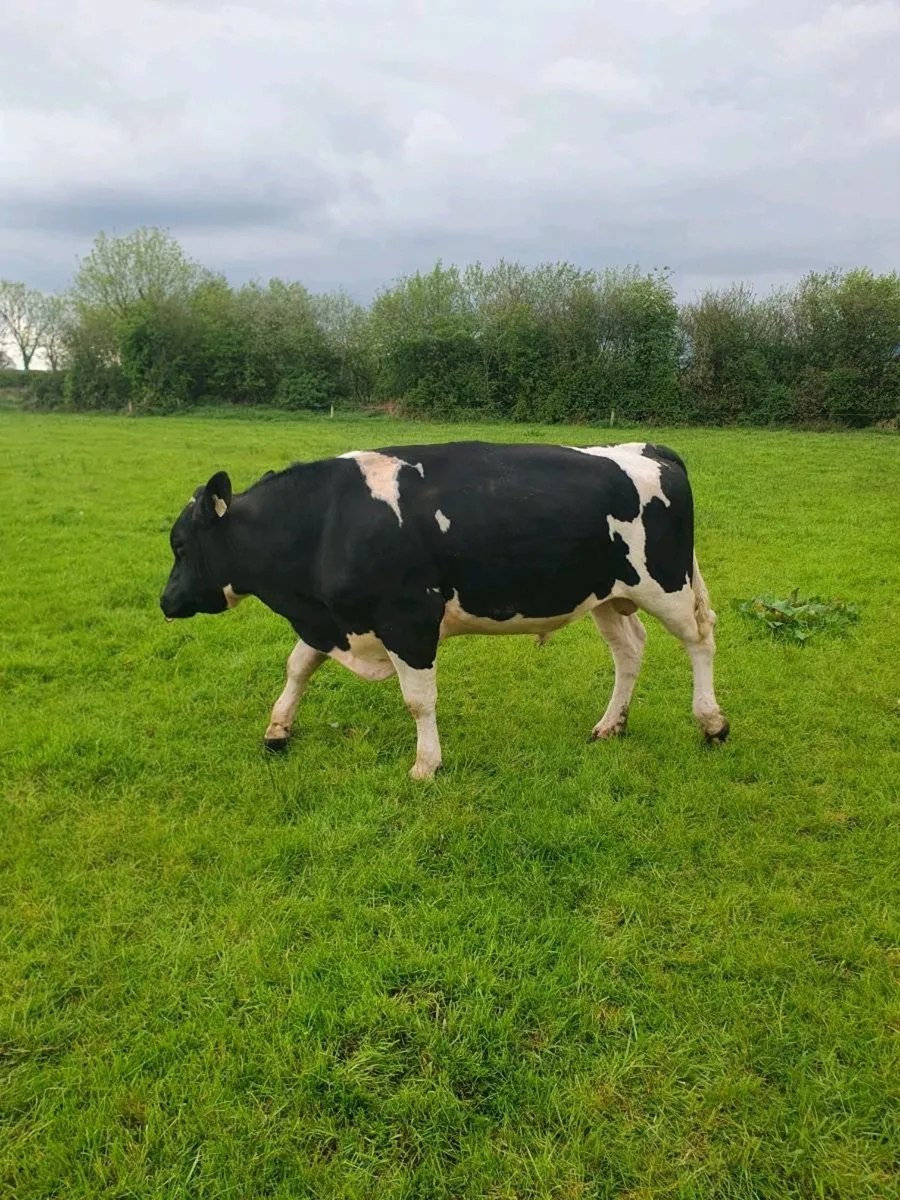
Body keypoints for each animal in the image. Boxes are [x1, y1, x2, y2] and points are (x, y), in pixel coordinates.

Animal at [160, 440, 729, 778]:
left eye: (181, 545)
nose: (166, 602)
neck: (328, 522)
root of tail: (645, 448)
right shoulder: (334, 620)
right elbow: (298, 666)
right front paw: (278, 730)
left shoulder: (407, 620)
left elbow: (418, 700)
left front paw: (426, 764)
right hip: (607, 597)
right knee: (630, 652)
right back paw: (611, 724)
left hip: (666, 586)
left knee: (700, 639)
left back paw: (712, 723)